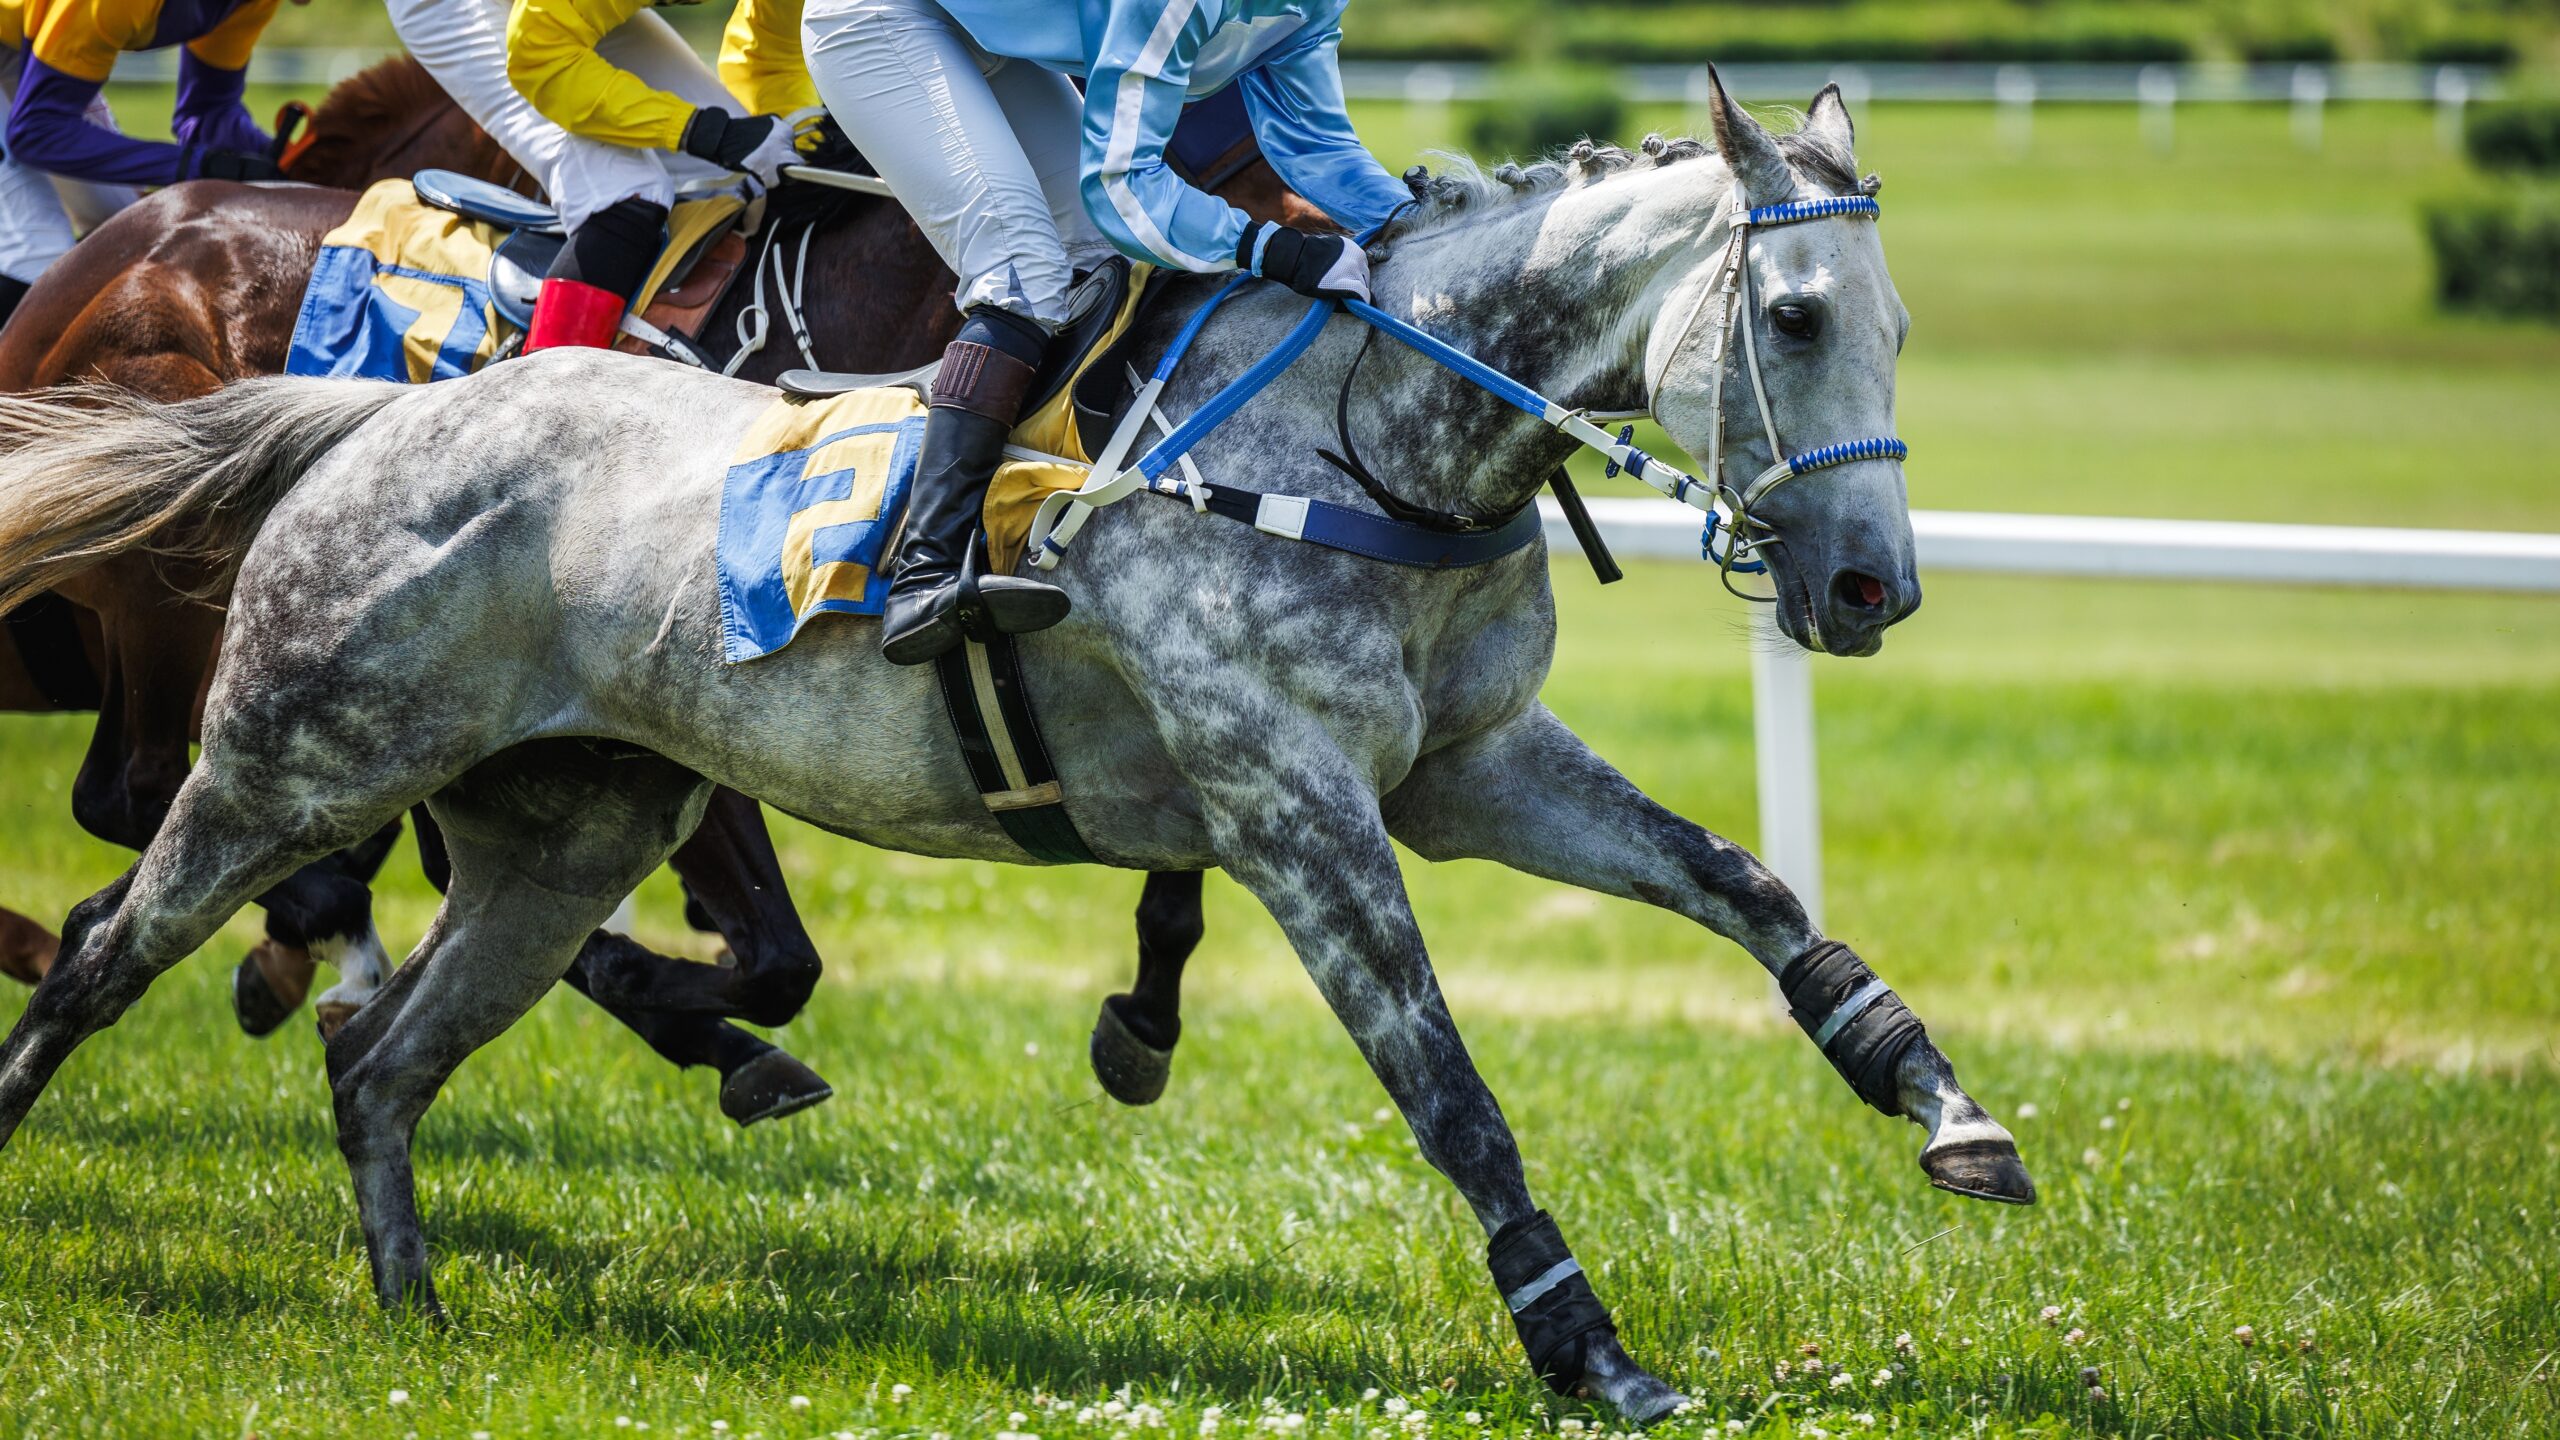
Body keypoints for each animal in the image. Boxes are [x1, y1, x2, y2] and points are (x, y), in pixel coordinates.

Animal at [0, 78, 2034, 1417]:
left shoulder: (1471, 768)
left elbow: (1755, 894)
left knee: (384, 1059)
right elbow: (1445, 1080)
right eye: (1794, 316)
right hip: (291, 758)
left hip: (566, 828)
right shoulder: (1294, 805)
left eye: (1899, 323)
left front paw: (1947, 1107)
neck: (1366, 440)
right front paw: (1588, 1346)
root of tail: (369, 414)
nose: (1869, 587)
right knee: (114, 946)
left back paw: (420, 1311)